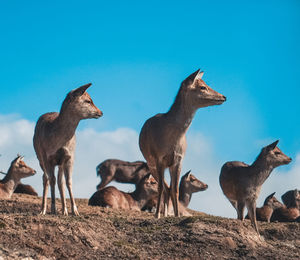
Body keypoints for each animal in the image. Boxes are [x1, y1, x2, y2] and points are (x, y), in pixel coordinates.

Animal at [33, 83, 102, 215]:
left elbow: (68, 181)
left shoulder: (69, 157)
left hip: (60, 162)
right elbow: (52, 179)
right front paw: (53, 209)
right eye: (88, 100)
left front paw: (74, 211)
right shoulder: (47, 157)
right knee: (46, 178)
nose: (100, 112)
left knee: (60, 181)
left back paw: (64, 209)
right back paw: (43, 209)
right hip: (39, 158)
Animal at [138, 69, 225, 217]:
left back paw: (167, 214)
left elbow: (175, 189)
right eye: (203, 87)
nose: (223, 97)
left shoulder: (179, 159)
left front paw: (177, 215)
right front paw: (157, 215)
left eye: (205, 84)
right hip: (151, 164)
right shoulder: (159, 158)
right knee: (164, 187)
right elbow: (160, 187)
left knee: (168, 187)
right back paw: (161, 213)